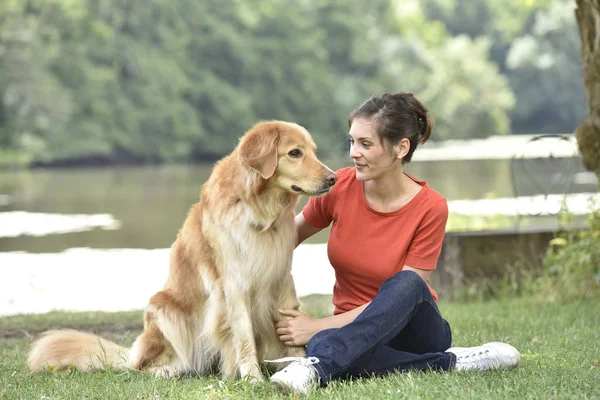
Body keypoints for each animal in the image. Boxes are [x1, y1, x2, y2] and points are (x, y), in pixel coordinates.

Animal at [27, 121, 338, 382]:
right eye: (294, 153)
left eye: (313, 151)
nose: (333, 178)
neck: (259, 211)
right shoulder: (234, 284)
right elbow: (244, 336)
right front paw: (252, 378)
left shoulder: (282, 278)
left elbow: (291, 333)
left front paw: (297, 364)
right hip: (165, 311)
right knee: (145, 366)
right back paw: (171, 370)